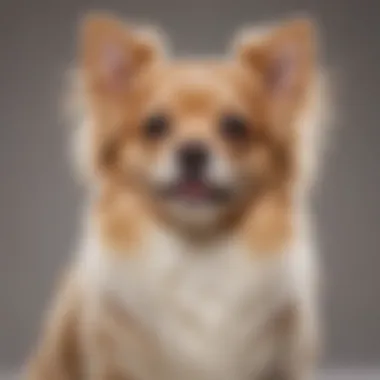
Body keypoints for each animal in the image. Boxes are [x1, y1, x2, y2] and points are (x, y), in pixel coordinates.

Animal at [25, 11, 326, 380]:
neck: (196, 249)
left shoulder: (284, 361)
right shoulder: (115, 362)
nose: (192, 151)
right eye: (155, 126)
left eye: (234, 126)